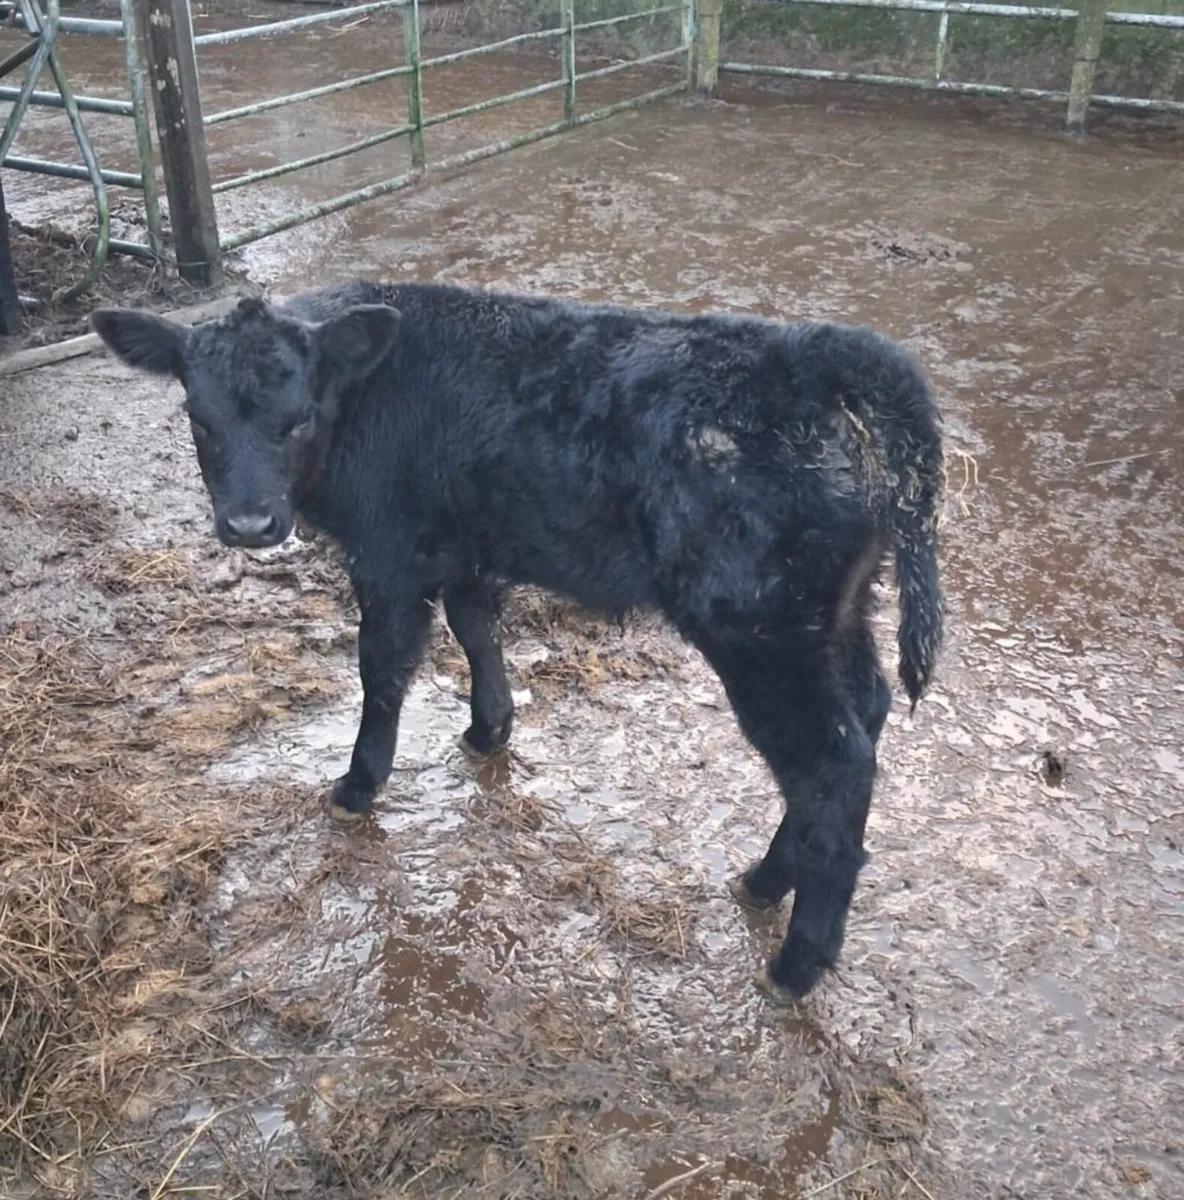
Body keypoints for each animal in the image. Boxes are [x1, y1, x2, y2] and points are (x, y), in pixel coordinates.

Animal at [91, 280, 944, 1002]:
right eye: (199, 421)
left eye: (296, 417)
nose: (248, 524)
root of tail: (810, 354)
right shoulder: (466, 543)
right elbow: (477, 627)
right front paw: (488, 728)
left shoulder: (389, 553)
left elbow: (382, 669)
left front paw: (359, 784)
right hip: (836, 613)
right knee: (864, 718)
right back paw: (767, 879)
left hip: (761, 630)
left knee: (829, 767)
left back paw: (795, 960)